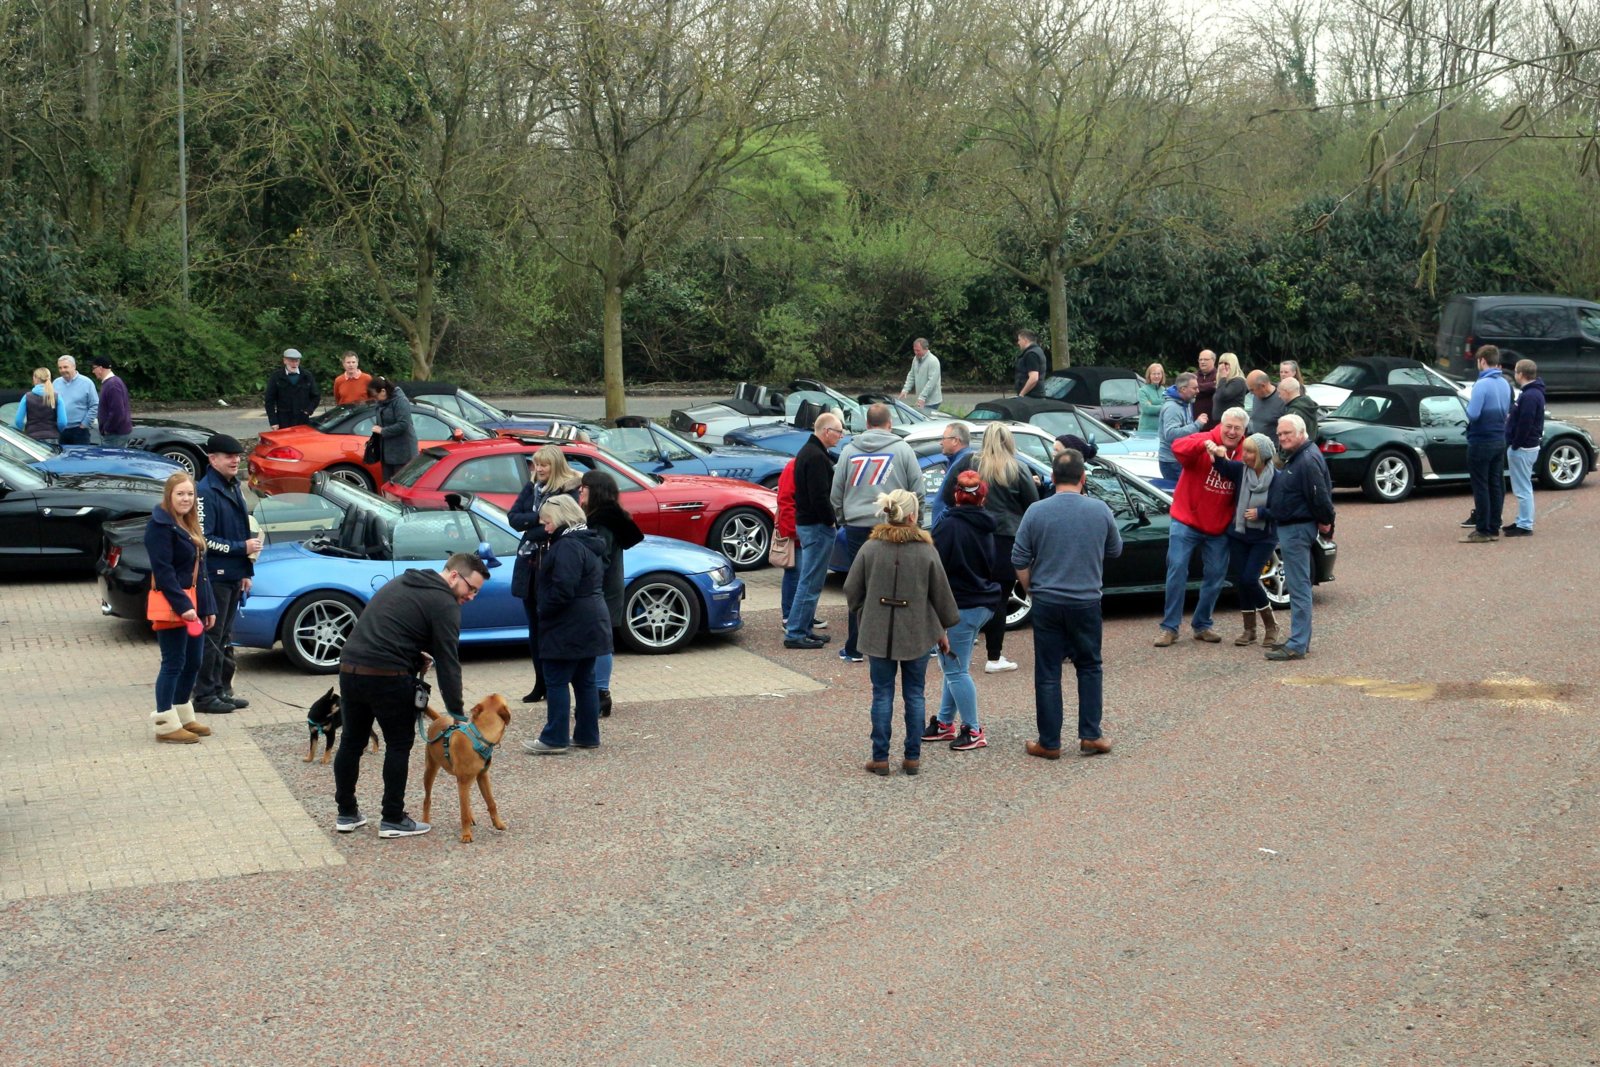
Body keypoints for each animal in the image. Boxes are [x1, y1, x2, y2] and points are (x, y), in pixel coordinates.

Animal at [422, 697, 508, 844]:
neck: (479, 737)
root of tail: (438, 719)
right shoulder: (463, 782)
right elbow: (463, 813)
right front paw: (466, 834)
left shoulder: (482, 776)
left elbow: (491, 802)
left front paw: (498, 823)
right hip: (431, 770)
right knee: (427, 799)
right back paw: (425, 821)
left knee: (466, 802)